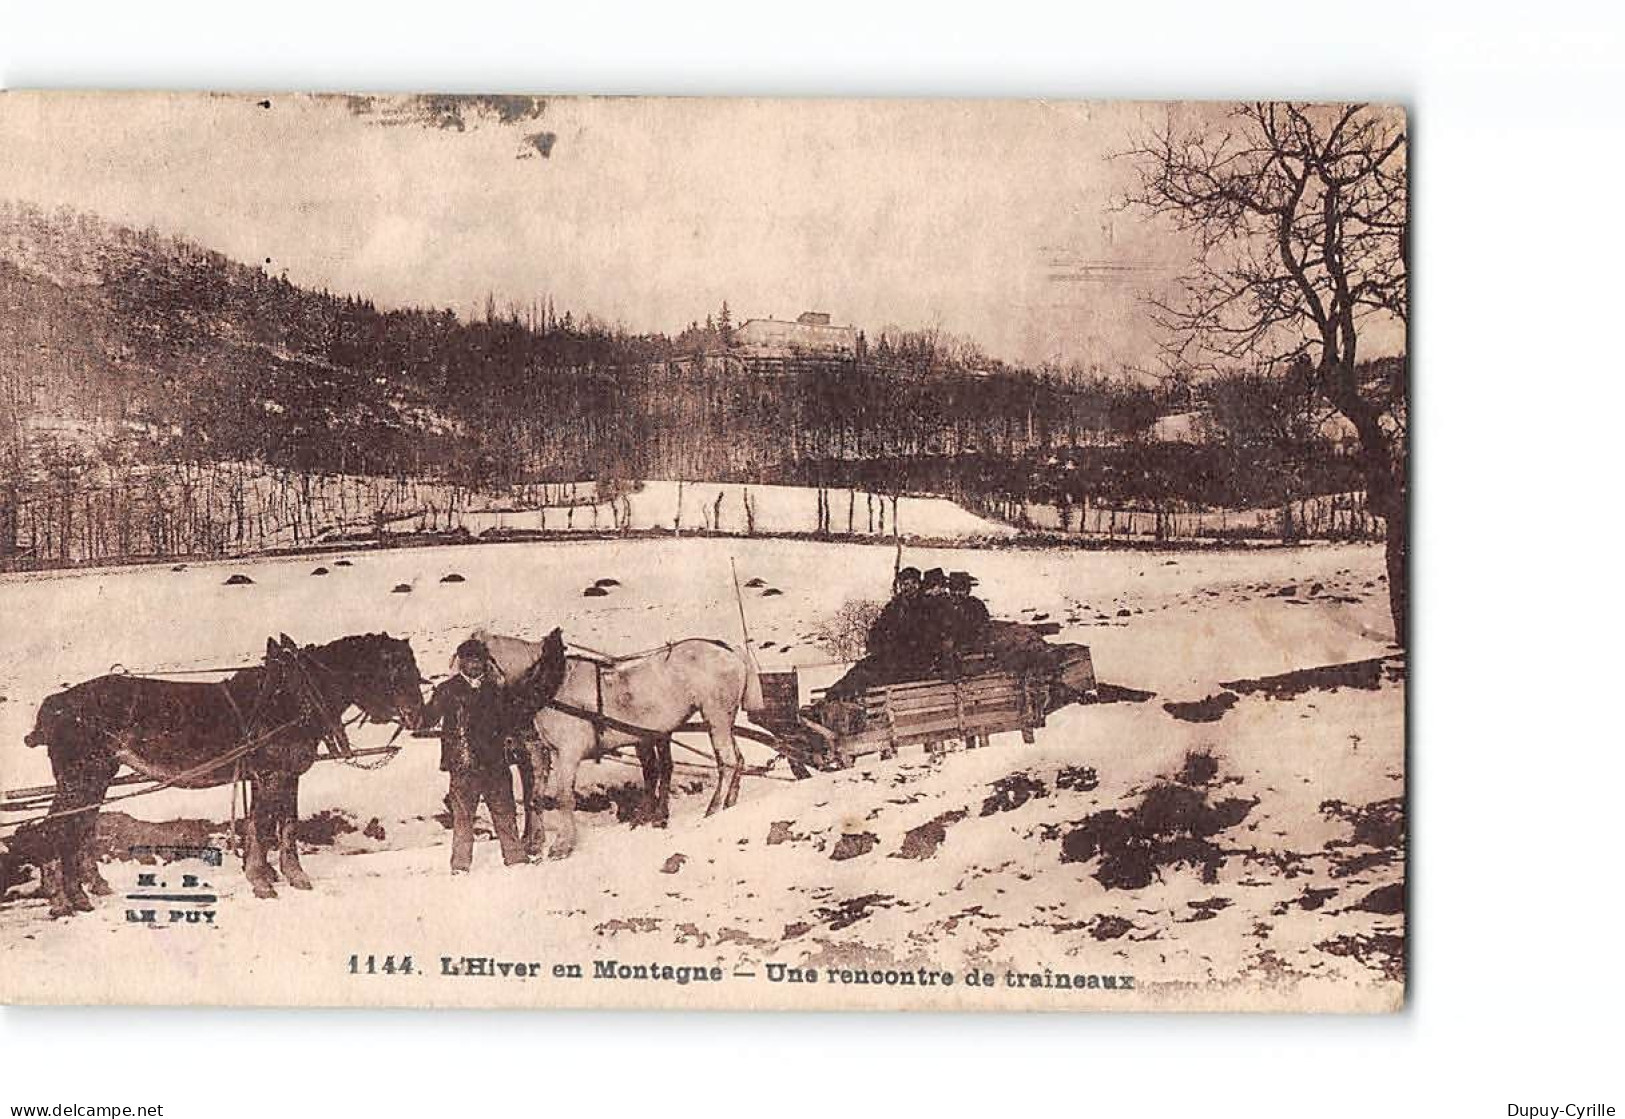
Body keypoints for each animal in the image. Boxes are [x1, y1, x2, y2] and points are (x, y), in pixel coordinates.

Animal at [23, 630, 425, 915]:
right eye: (396, 671)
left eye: (414, 671)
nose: (417, 716)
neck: (294, 697)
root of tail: (55, 704)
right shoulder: (273, 775)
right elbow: (263, 826)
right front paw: (262, 881)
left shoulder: (280, 774)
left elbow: (281, 825)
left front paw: (288, 874)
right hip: (81, 777)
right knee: (57, 829)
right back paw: (67, 898)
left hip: (98, 776)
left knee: (81, 827)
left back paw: (87, 888)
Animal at [471, 630, 760, 857]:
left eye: (474, 664)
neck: (550, 683)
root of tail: (730, 650)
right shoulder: (546, 752)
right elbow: (536, 797)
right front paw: (536, 844)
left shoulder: (568, 753)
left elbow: (564, 798)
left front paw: (563, 845)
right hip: (724, 720)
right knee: (738, 759)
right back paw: (729, 804)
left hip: (716, 717)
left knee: (727, 762)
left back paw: (713, 809)